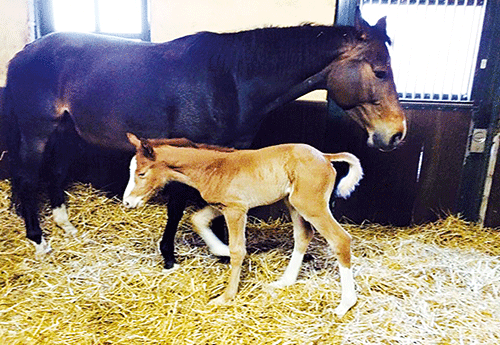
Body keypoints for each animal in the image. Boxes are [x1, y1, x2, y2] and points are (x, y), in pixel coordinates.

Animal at [123, 133, 362, 316]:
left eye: (141, 173)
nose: (127, 202)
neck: (213, 167)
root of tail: (325, 156)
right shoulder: (223, 205)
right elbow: (197, 219)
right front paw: (220, 249)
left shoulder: (236, 209)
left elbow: (238, 250)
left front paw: (226, 296)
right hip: (293, 203)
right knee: (304, 235)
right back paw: (285, 281)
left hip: (310, 204)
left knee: (340, 239)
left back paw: (344, 305)